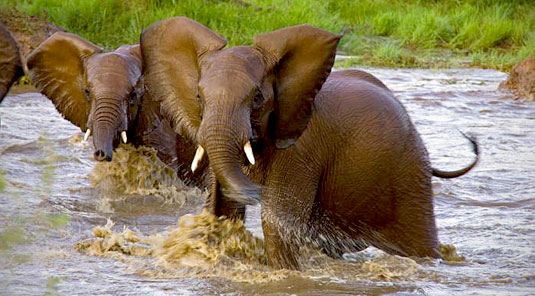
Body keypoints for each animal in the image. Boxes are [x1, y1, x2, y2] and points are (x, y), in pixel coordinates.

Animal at [140, 17, 480, 270]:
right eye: (199, 98)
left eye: (258, 98)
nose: (254, 189)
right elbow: (220, 210)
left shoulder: (303, 150)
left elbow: (279, 222)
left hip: (409, 176)